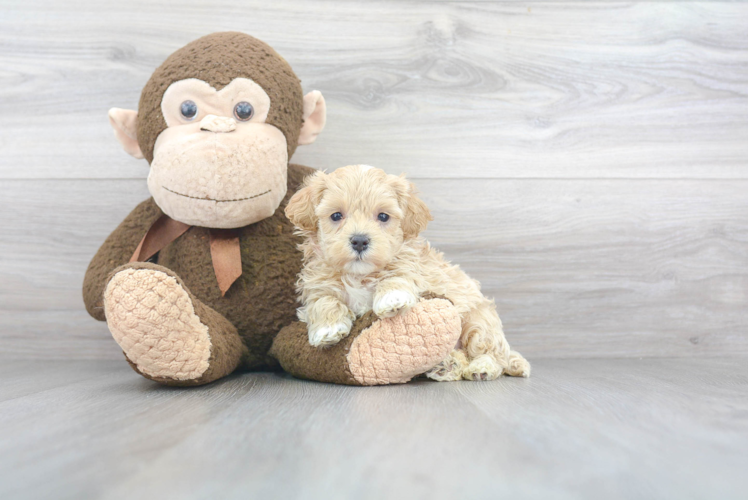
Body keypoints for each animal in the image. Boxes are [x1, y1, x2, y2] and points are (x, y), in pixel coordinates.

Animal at [284, 166, 528, 380]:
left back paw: (482, 367)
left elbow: (397, 276)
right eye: (336, 216)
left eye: (383, 217)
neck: (359, 275)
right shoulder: (317, 284)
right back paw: (446, 366)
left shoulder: (415, 270)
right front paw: (328, 328)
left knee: (492, 354)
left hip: (479, 322)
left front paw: (392, 298)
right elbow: (323, 301)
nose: (360, 240)